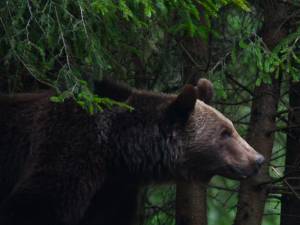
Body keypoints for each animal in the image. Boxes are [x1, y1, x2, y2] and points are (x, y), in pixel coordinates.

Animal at [0, 79, 264, 225]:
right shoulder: (66, 149)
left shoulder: (115, 191)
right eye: (225, 133)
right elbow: (35, 207)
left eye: (231, 127)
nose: (258, 159)